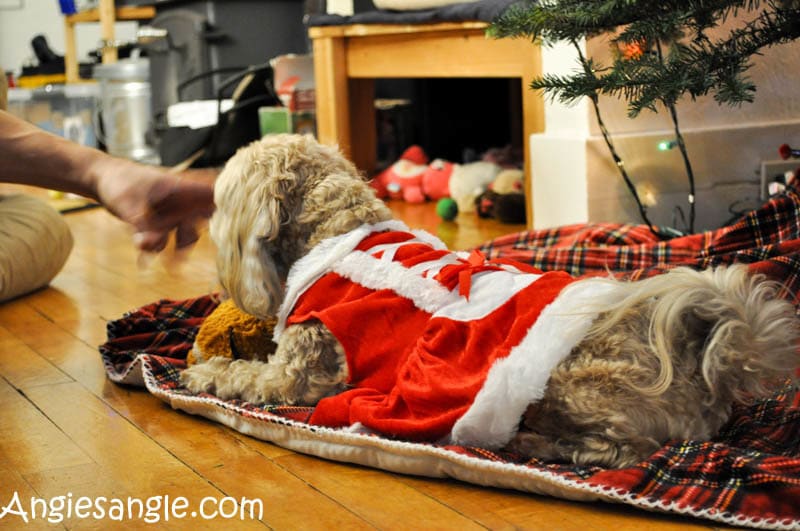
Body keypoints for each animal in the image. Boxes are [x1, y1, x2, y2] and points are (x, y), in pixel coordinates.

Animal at [183, 134, 800, 470]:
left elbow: (241, 374)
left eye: (219, 200)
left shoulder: (298, 378)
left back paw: (536, 443)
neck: (336, 226)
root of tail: (703, 369)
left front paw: (203, 372)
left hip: (571, 388)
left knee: (626, 452)